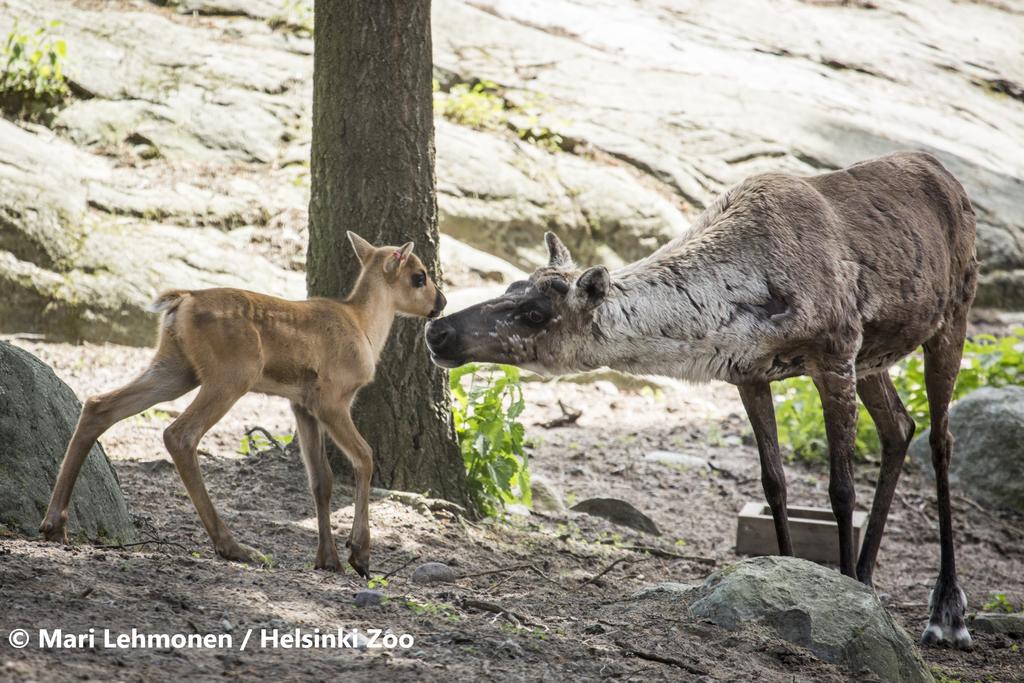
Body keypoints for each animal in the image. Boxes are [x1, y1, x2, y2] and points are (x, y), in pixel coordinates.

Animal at [40, 233, 444, 577]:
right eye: (419, 276)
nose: (441, 302)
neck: (362, 327)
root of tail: (181, 302)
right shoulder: (331, 398)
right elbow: (364, 456)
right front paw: (359, 553)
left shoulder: (302, 405)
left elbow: (321, 480)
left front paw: (327, 559)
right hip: (231, 374)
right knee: (179, 434)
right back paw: (234, 547)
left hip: (175, 368)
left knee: (99, 405)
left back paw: (54, 524)